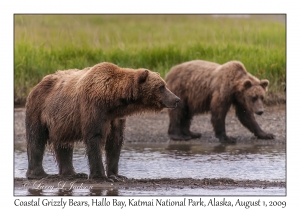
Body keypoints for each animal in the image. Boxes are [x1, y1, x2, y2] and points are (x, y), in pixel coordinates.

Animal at [25, 62, 179, 180]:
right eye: (161, 87)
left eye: (164, 84)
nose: (176, 99)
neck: (113, 100)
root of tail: (37, 84)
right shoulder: (93, 107)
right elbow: (95, 137)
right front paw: (101, 176)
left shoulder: (115, 117)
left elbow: (115, 141)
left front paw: (117, 175)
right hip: (38, 108)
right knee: (36, 139)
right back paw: (39, 174)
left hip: (62, 120)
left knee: (64, 144)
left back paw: (73, 174)